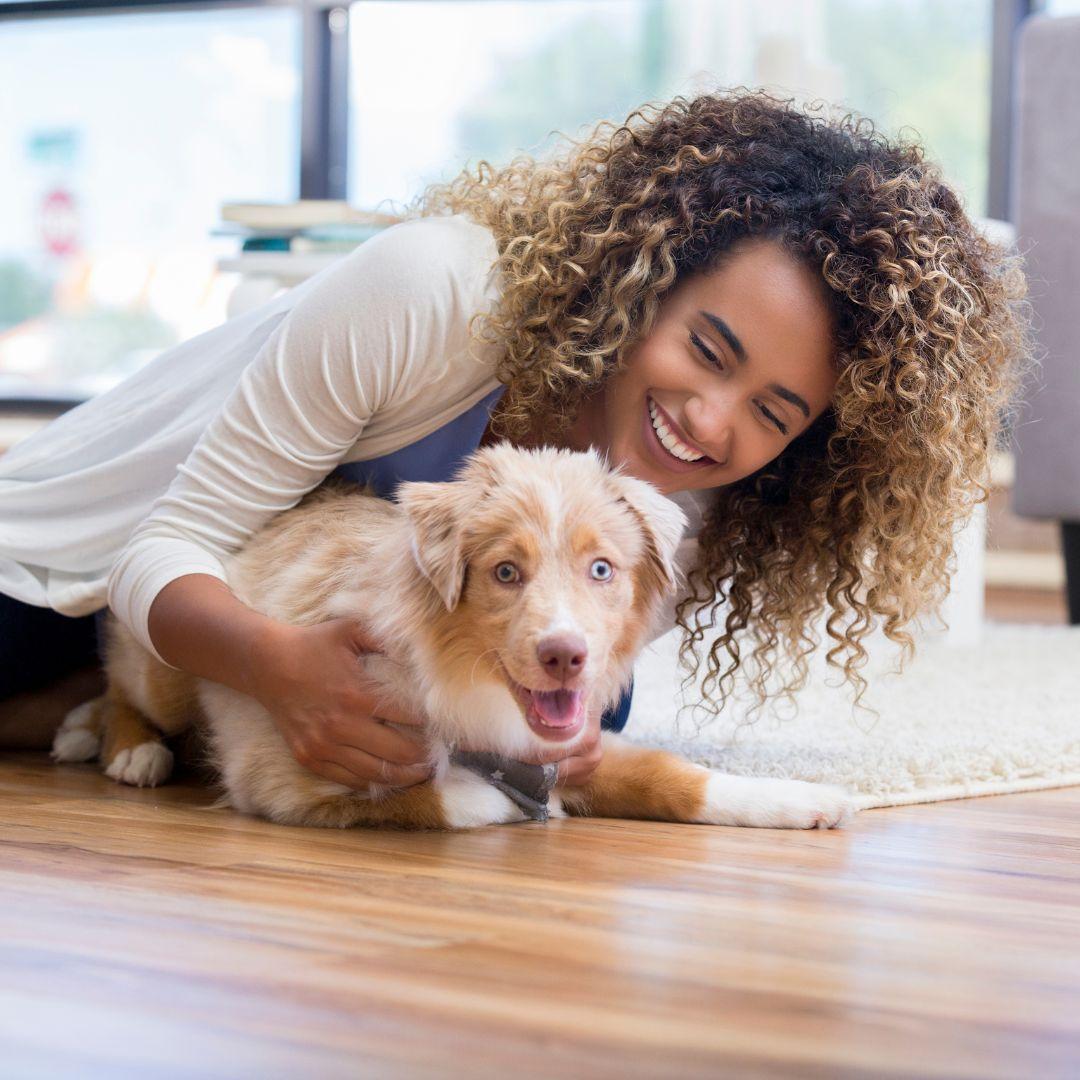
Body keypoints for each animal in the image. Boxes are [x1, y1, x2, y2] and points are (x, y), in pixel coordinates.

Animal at [52, 442, 859, 829]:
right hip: (166, 660)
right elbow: (439, 796)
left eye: (602, 568)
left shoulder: (571, 743)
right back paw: (119, 745)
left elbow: (677, 776)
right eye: (506, 571)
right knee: (122, 681)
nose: (565, 656)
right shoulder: (284, 776)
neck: (464, 676)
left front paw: (802, 800)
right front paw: (512, 802)